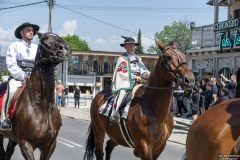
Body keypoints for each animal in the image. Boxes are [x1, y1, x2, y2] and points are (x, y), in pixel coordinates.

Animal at [0, 31, 69, 159]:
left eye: (60, 37)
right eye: (45, 37)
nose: (64, 49)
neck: (42, 105)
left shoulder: (50, 145)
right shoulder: (26, 144)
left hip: (12, 139)